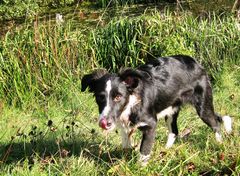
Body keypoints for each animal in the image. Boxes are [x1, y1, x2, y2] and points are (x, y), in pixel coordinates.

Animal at [81, 54, 232, 165]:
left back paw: (220, 144)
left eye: (118, 97)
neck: (131, 103)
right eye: (100, 97)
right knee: (174, 131)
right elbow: (126, 145)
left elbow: (144, 151)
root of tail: (196, 62)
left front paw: (140, 168)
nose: (104, 123)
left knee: (215, 124)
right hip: (171, 110)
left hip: (203, 108)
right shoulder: (123, 125)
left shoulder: (150, 124)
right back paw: (166, 151)